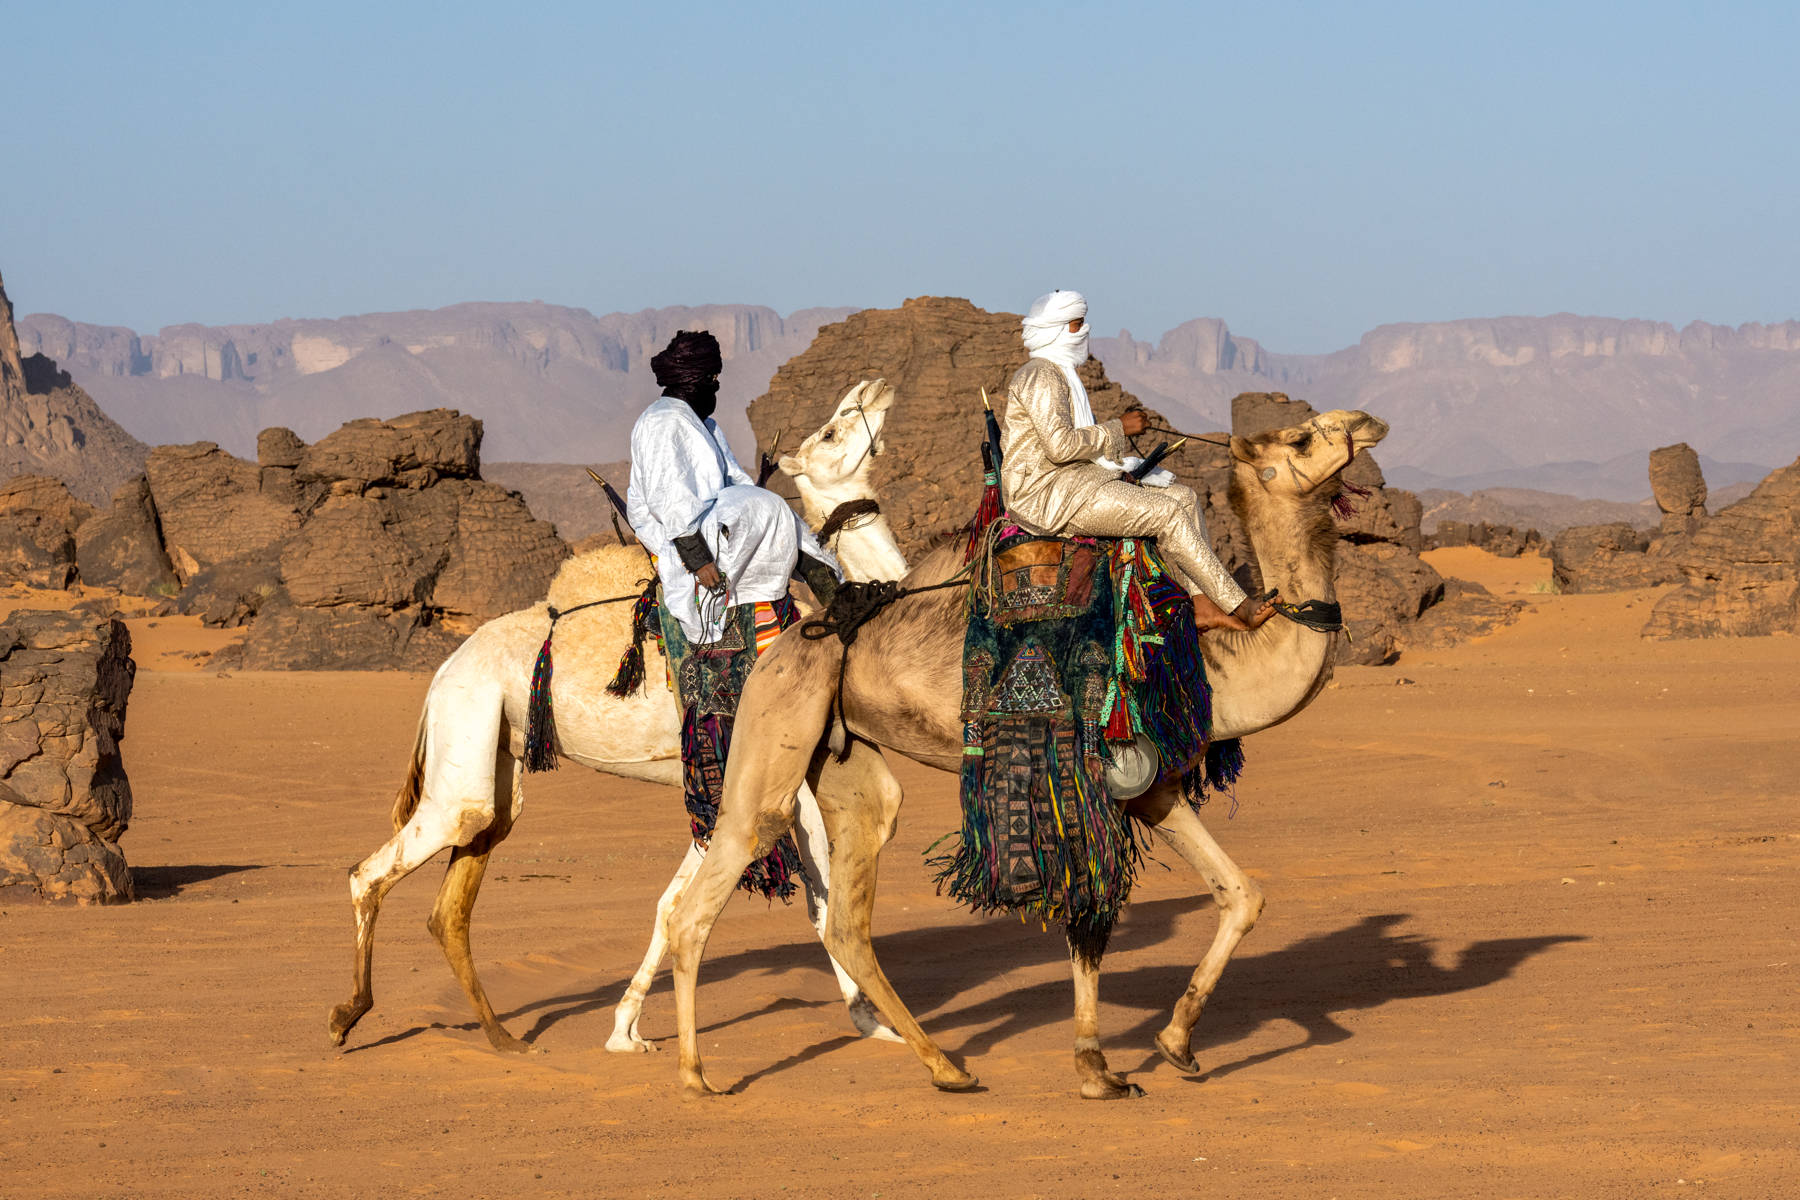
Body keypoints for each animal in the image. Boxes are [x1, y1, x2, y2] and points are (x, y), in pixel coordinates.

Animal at [326, 380, 911, 1055]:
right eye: (832, 432)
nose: (875, 389)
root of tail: (444, 671)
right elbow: (814, 895)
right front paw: (875, 1022)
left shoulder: (722, 784)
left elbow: (676, 901)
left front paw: (625, 1031)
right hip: (464, 724)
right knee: (376, 868)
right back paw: (347, 1016)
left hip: (495, 752)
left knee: (459, 884)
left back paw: (502, 1036)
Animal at [660, 408, 1391, 1099]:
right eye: (1301, 439)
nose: (1366, 424)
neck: (1210, 664)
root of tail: (783, 641)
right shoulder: (1087, 777)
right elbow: (1090, 916)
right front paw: (1097, 1070)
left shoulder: (1153, 789)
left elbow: (1241, 895)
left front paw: (1176, 1044)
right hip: (777, 718)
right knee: (714, 884)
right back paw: (695, 1075)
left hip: (845, 752)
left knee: (847, 911)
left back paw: (946, 1067)